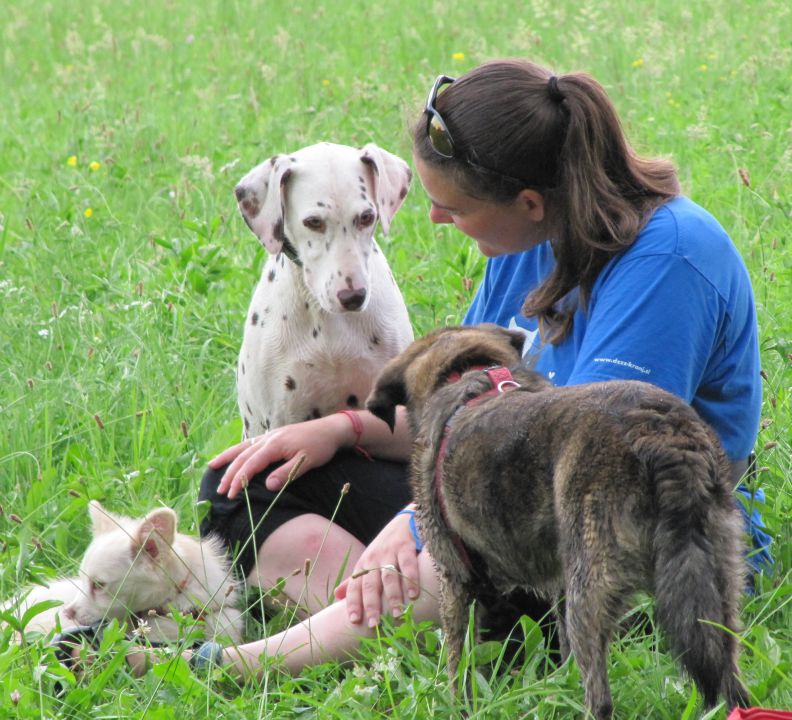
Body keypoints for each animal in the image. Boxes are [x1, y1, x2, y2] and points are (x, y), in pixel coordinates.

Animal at [366, 324, 748, 720]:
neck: (467, 372)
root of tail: (662, 432)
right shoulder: (557, 585)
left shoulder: (456, 581)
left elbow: (460, 663)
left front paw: (460, 708)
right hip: (715, 583)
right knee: (729, 678)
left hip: (591, 589)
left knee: (600, 697)